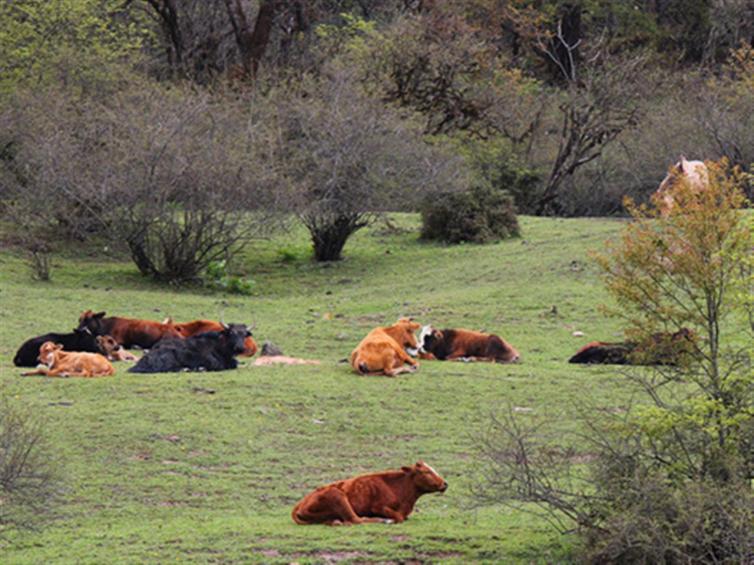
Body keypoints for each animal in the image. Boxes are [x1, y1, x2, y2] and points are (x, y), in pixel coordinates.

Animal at [290, 462, 446, 524]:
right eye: (426, 472)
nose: (445, 484)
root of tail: (299, 504)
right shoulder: (378, 507)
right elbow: (398, 517)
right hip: (338, 496)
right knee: (356, 520)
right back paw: (382, 520)